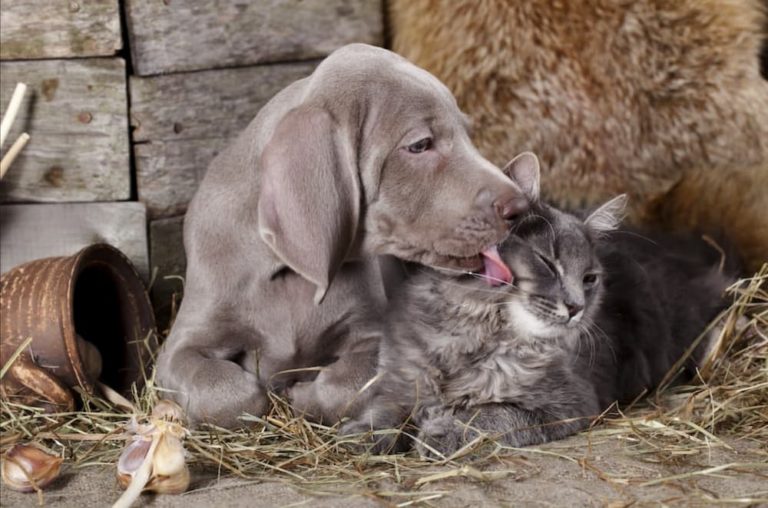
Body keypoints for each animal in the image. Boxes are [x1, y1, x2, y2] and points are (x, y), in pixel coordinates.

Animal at [156, 43, 528, 426]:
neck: (285, 272)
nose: (521, 206)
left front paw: (302, 394)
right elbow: (225, 394)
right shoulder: (178, 347)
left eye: (468, 134)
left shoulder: (374, 333)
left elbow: (346, 385)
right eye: (420, 145)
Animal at [342, 158, 736, 456]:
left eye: (589, 278)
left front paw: (445, 431)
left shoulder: (568, 405)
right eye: (547, 263)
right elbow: (384, 410)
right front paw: (360, 433)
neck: (473, 332)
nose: (576, 306)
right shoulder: (400, 382)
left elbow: (491, 414)